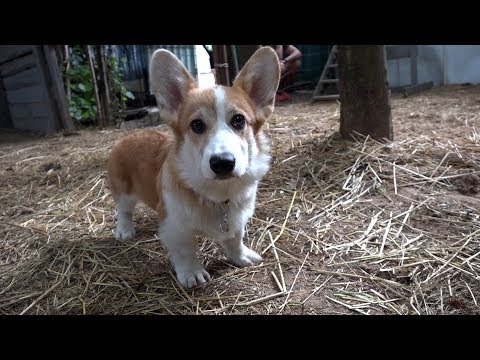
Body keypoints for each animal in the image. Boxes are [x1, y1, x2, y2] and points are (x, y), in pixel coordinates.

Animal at [107, 46, 280, 288]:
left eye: (239, 120)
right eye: (196, 125)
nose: (222, 162)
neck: (218, 194)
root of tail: (129, 135)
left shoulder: (237, 219)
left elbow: (235, 239)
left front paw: (241, 256)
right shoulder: (175, 227)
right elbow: (184, 251)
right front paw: (192, 273)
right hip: (123, 191)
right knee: (124, 210)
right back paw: (124, 230)